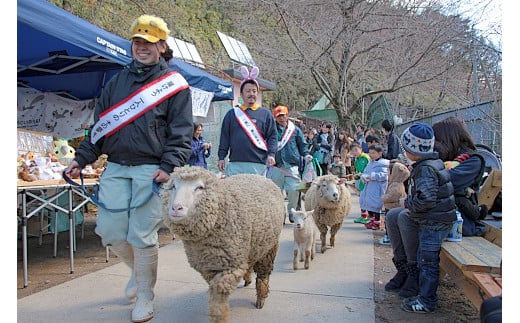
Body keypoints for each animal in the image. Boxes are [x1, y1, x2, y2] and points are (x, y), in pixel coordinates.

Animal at [161, 167, 284, 323]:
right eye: (173, 187)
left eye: (199, 187)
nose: (176, 208)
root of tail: (260, 176)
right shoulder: (209, 266)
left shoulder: (231, 266)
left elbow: (218, 294)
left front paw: (219, 317)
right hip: (252, 245)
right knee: (250, 263)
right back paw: (248, 279)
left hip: (269, 246)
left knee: (263, 272)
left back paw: (261, 297)